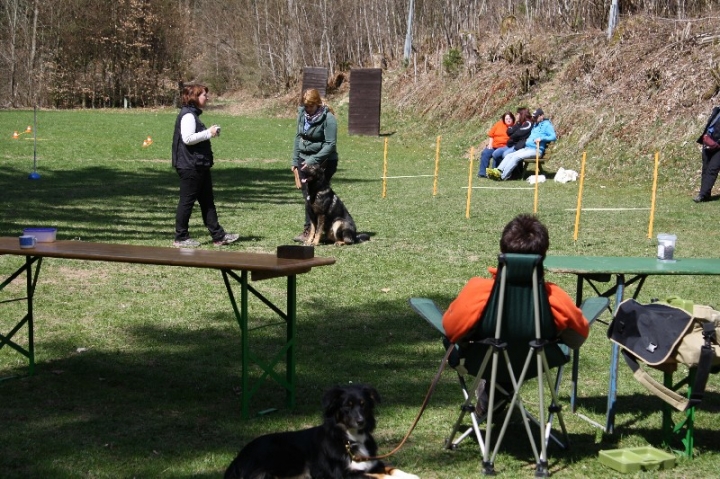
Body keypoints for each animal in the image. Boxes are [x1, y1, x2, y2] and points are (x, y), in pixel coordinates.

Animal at [224, 386, 416, 479]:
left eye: (363, 404)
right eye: (347, 406)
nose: (361, 421)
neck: (349, 439)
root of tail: (238, 458)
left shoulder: (372, 462)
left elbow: (390, 467)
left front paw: (410, 475)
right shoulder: (343, 474)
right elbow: (378, 476)